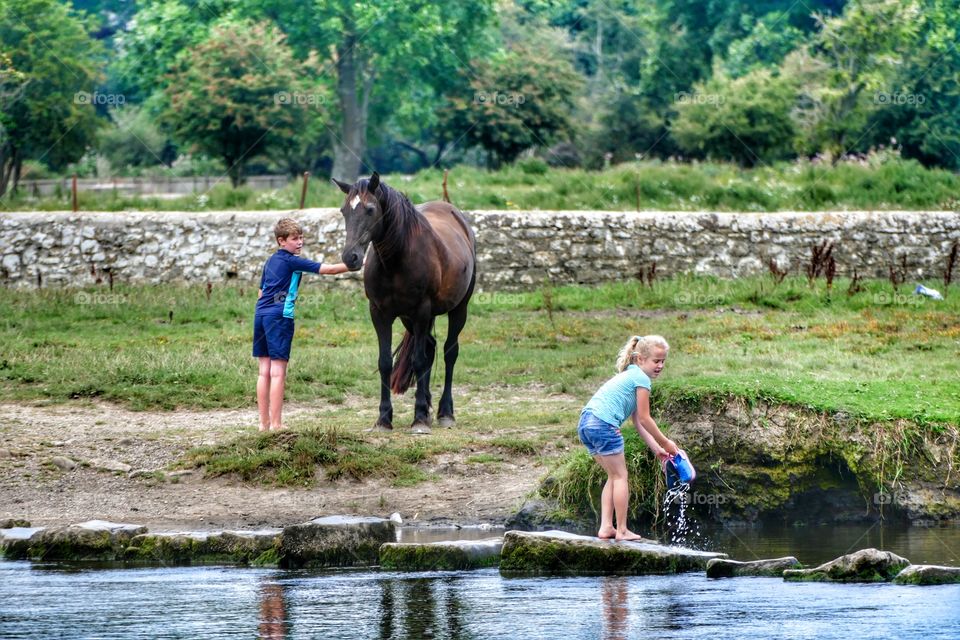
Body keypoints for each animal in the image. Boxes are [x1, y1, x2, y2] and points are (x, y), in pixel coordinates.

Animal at [334, 171, 476, 436]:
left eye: (370, 209)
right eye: (343, 210)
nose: (351, 257)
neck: (396, 260)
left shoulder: (421, 311)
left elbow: (418, 361)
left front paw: (419, 419)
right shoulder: (380, 313)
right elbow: (385, 362)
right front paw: (384, 418)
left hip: (457, 310)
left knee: (448, 352)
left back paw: (445, 412)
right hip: (409, 319)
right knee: (430, 348)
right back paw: (428, 406)